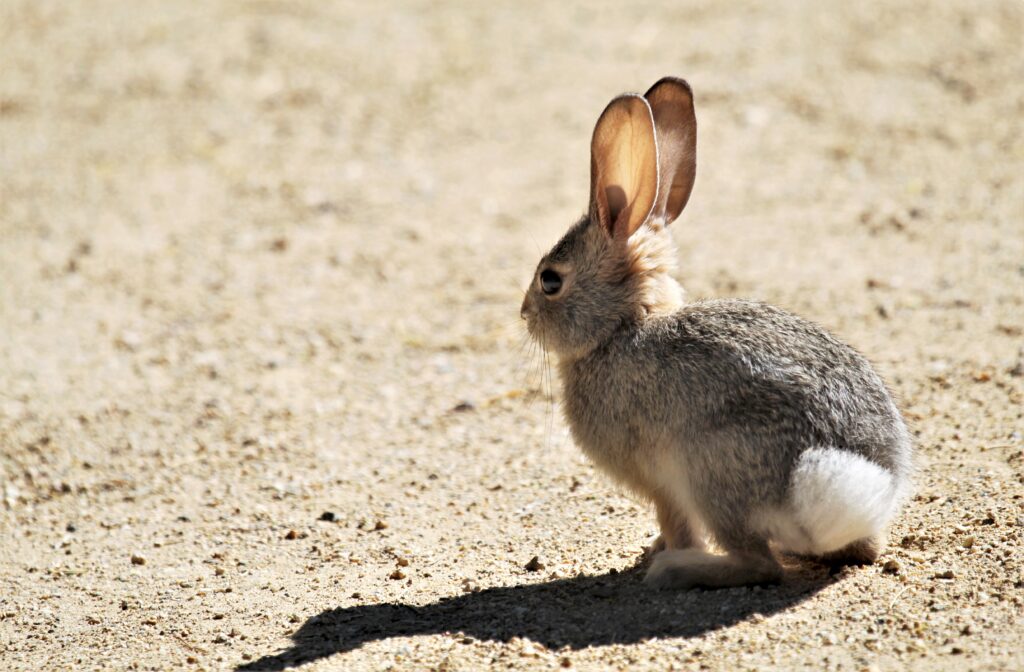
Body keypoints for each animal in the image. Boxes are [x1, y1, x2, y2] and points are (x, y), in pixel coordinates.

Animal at [520, 77, 912, 589]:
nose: (524, 313)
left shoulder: (661, 482)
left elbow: (676, 523)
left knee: (759, 564)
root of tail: (854, 494)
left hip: (712, 471)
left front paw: (659, 554)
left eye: (550, 280)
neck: (622, 328)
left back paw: (676, 569)